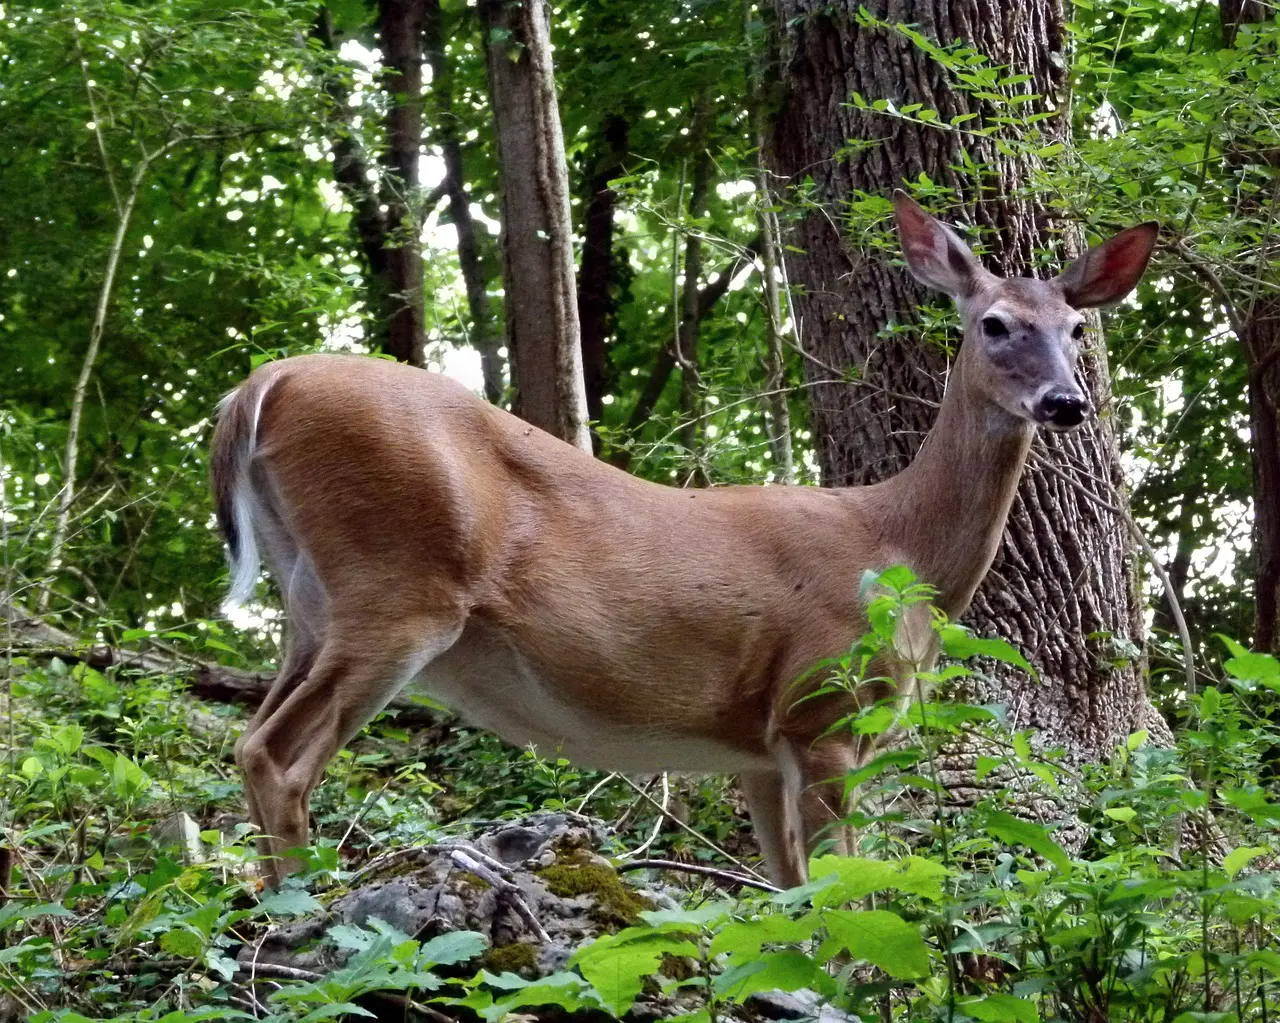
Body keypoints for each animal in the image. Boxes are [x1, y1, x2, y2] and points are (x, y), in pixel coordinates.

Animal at [210, 192, 1157, 889]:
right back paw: (303, 910)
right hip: (399, 586)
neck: (898, 547)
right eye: (993, 323)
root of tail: (264, 383)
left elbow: (790, 897)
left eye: (1078, 329)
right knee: (274, 754)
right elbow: (845, 891)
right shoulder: (822, 706)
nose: (1068, 402)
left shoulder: (758, 749)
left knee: (256, 734)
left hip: (312, 603)